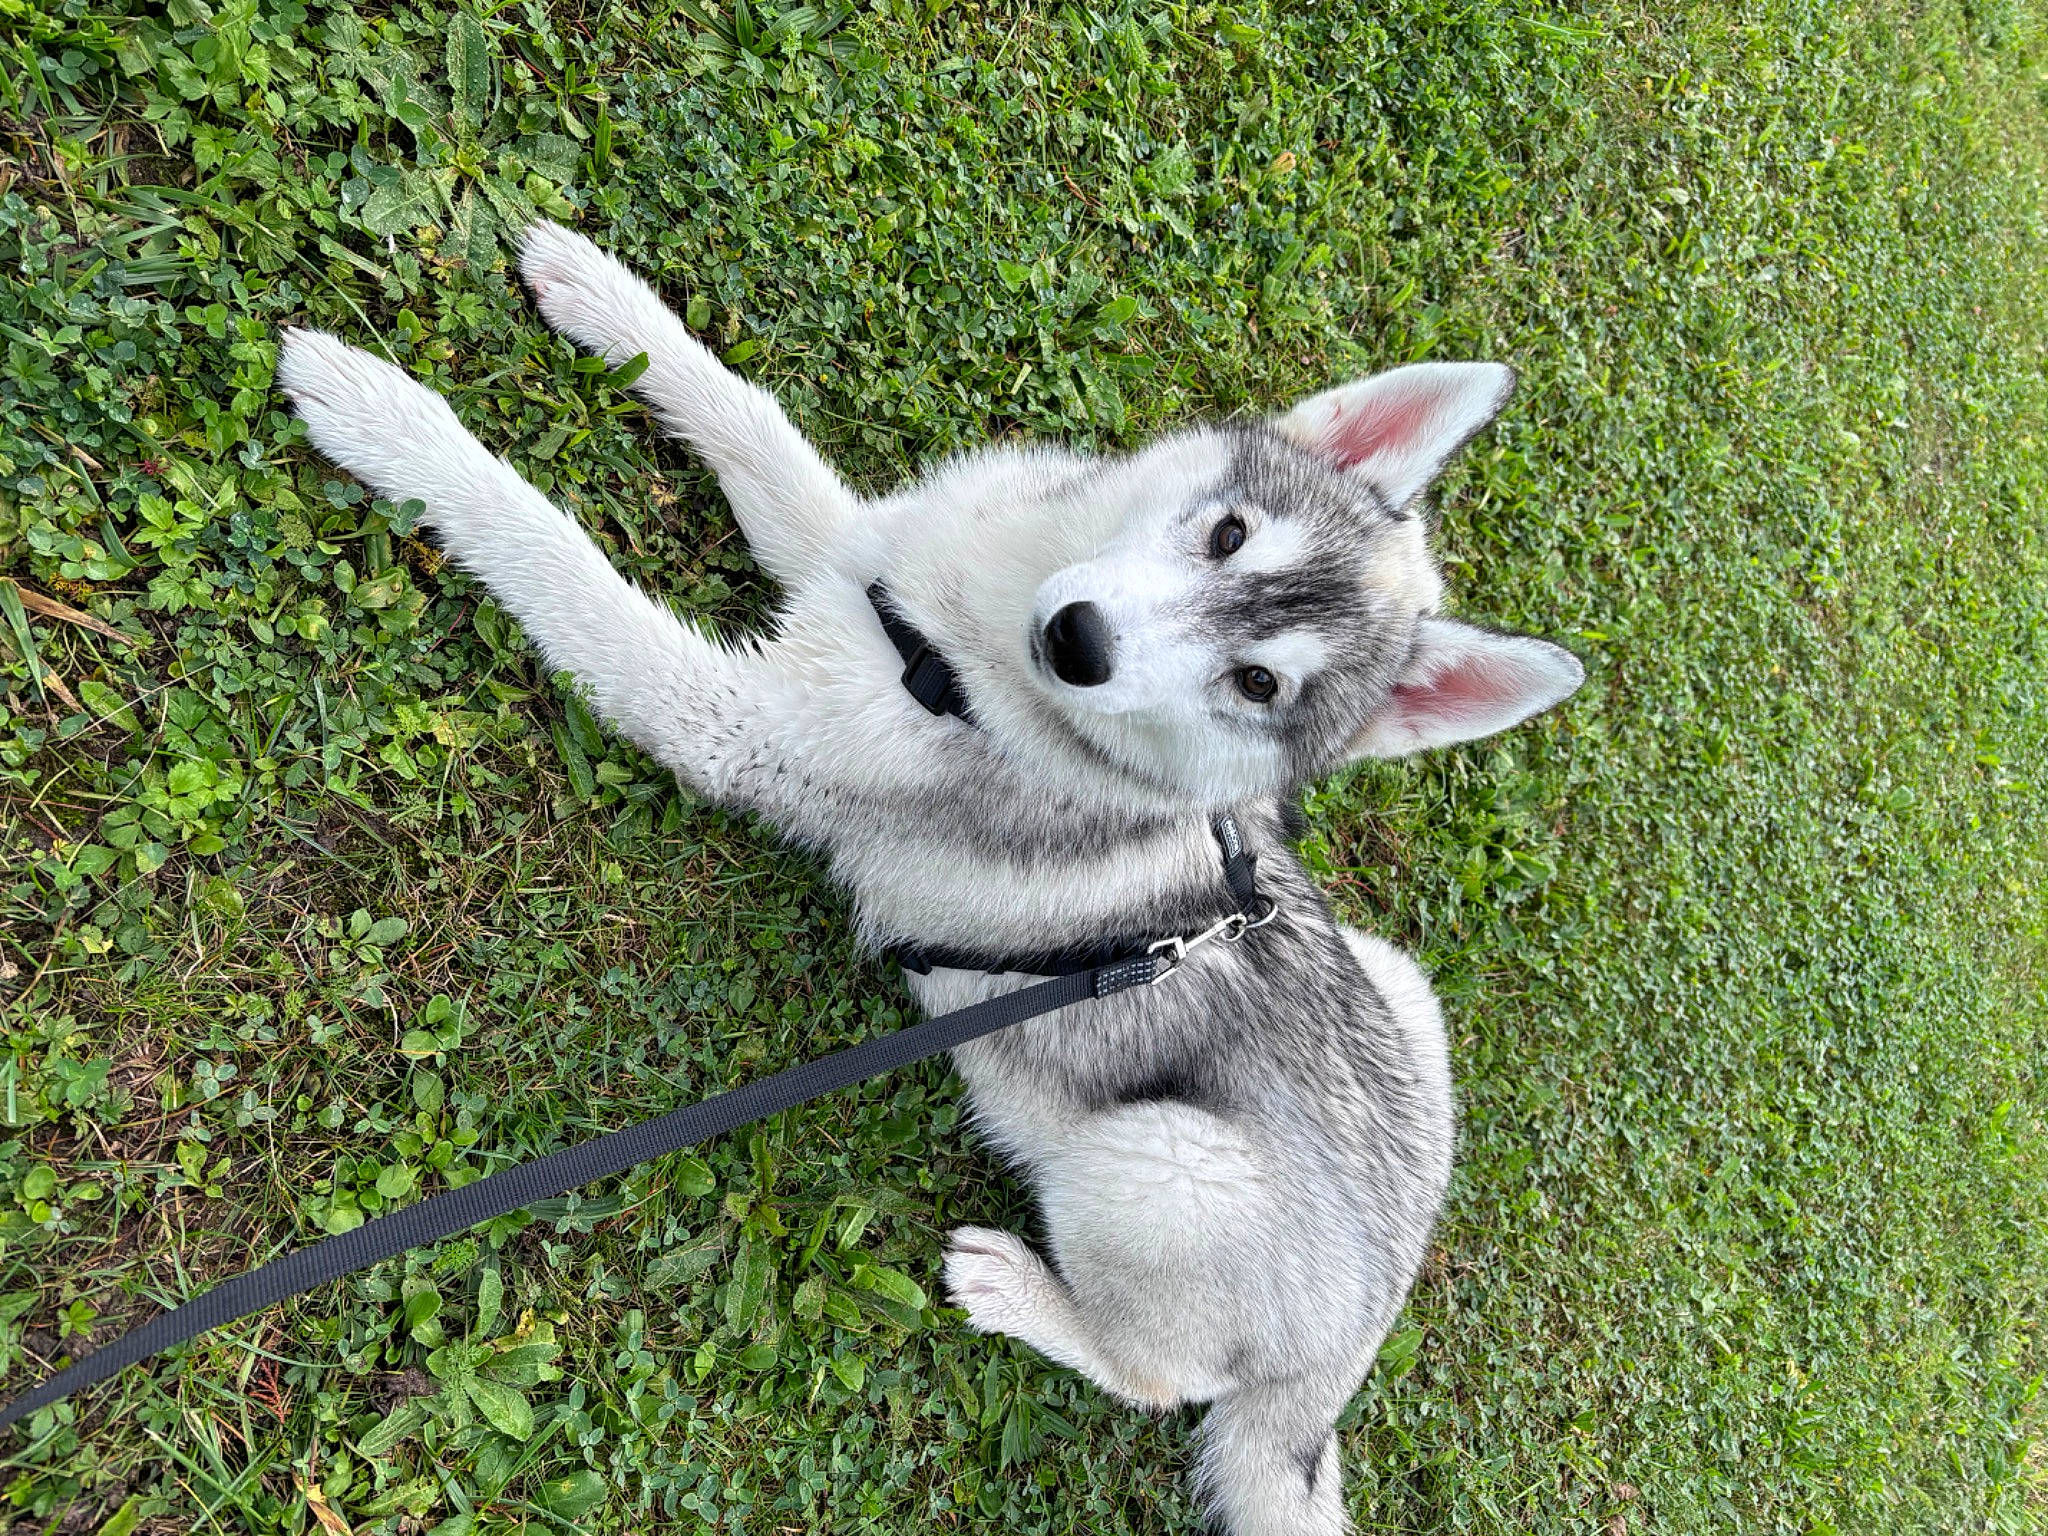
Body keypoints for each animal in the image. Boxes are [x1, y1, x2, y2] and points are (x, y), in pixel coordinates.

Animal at [277, 221, 1582, 1535]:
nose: (1076, 639)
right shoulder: (857, 548)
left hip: (1159, 1165)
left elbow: (550, 546)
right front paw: (601, 296)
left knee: (1161, 1381)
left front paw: (379, 413)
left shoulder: (726, 719)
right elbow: (739, 408)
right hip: (1401, 986)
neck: (969, 652)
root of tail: (1333, 1377)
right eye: (1227, 534)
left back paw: (1018, 1292)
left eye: (1256, 684)